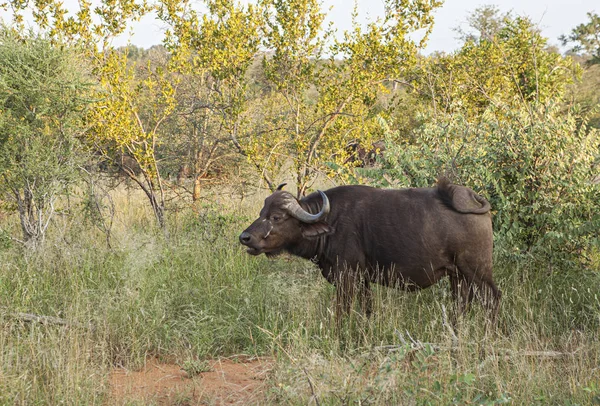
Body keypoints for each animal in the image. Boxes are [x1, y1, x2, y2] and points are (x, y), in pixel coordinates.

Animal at [240, 178, 502, 324]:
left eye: (277, 217)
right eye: (262, 213)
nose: (245, 238)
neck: (331, 222)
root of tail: (472, 197)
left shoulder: (346, 278)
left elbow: (342, 313)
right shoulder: (363, 280)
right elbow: (367, 310)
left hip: (478, 272)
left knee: (493, 300)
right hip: (458, 277)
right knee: (462, 305)